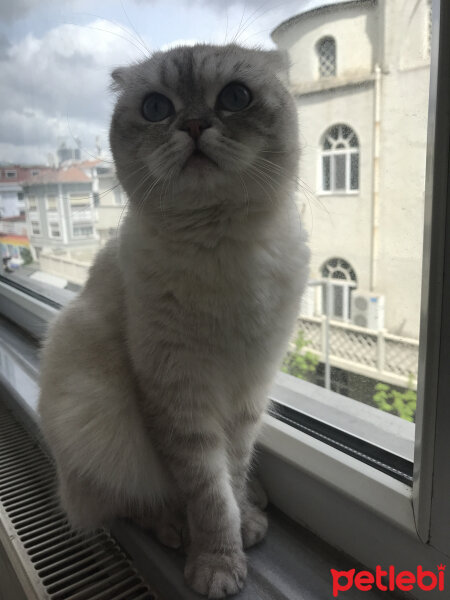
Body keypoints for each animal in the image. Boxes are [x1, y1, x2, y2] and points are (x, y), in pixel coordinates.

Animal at [38, 42, 310, 596]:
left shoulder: (248, 391)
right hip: (95, 410)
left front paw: (244, 527)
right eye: (157, 109)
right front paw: (217, 565)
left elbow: (233, 475)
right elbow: (209, 495)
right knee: (127, 501)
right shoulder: (179, 394)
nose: (193, 124)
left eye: (235, 98)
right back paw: (171, 528)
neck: (219, 245)